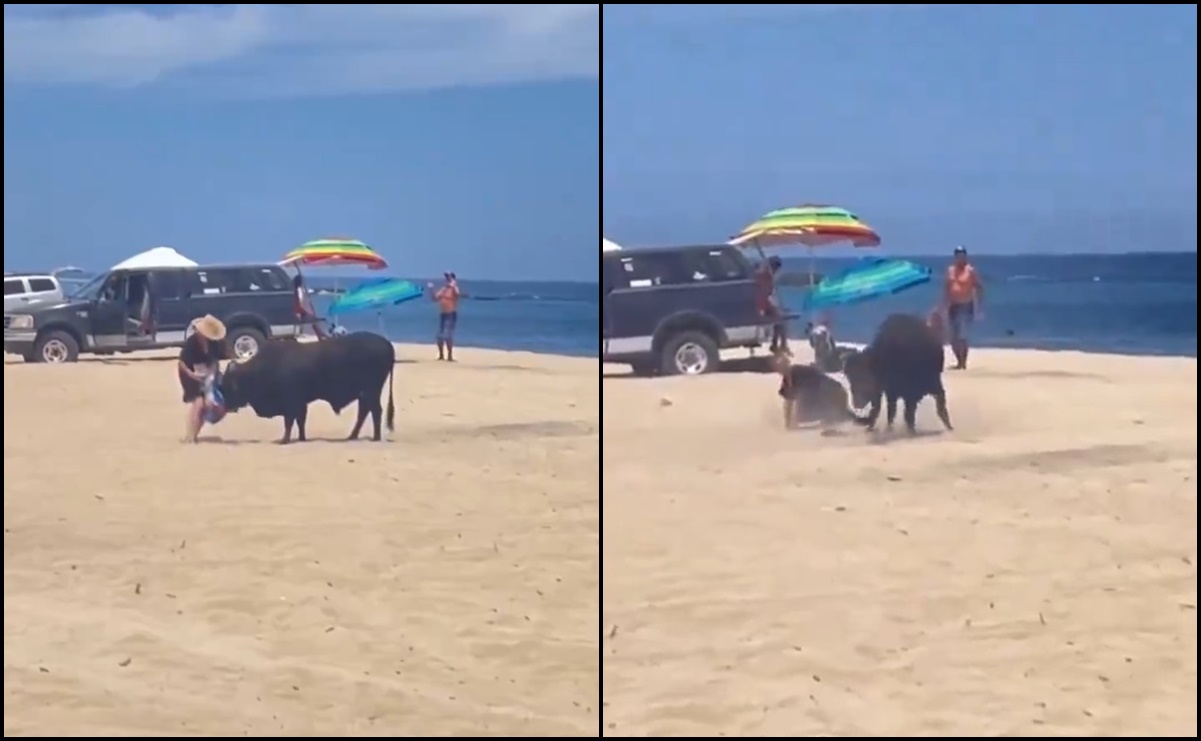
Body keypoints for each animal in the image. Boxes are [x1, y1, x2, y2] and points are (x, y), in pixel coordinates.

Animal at [220, 331, 398, 441]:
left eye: (227, 384)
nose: (225, 405)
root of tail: (387, 344)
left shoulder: (291, 402)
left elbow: (290, 421)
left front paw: (284, 440)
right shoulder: (300, 403)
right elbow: (300, 421)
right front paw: (301, 438)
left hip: (371, 392)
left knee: (375, 411)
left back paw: (375, 437)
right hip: (365, 394)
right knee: (364, 412)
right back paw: (353, 436)